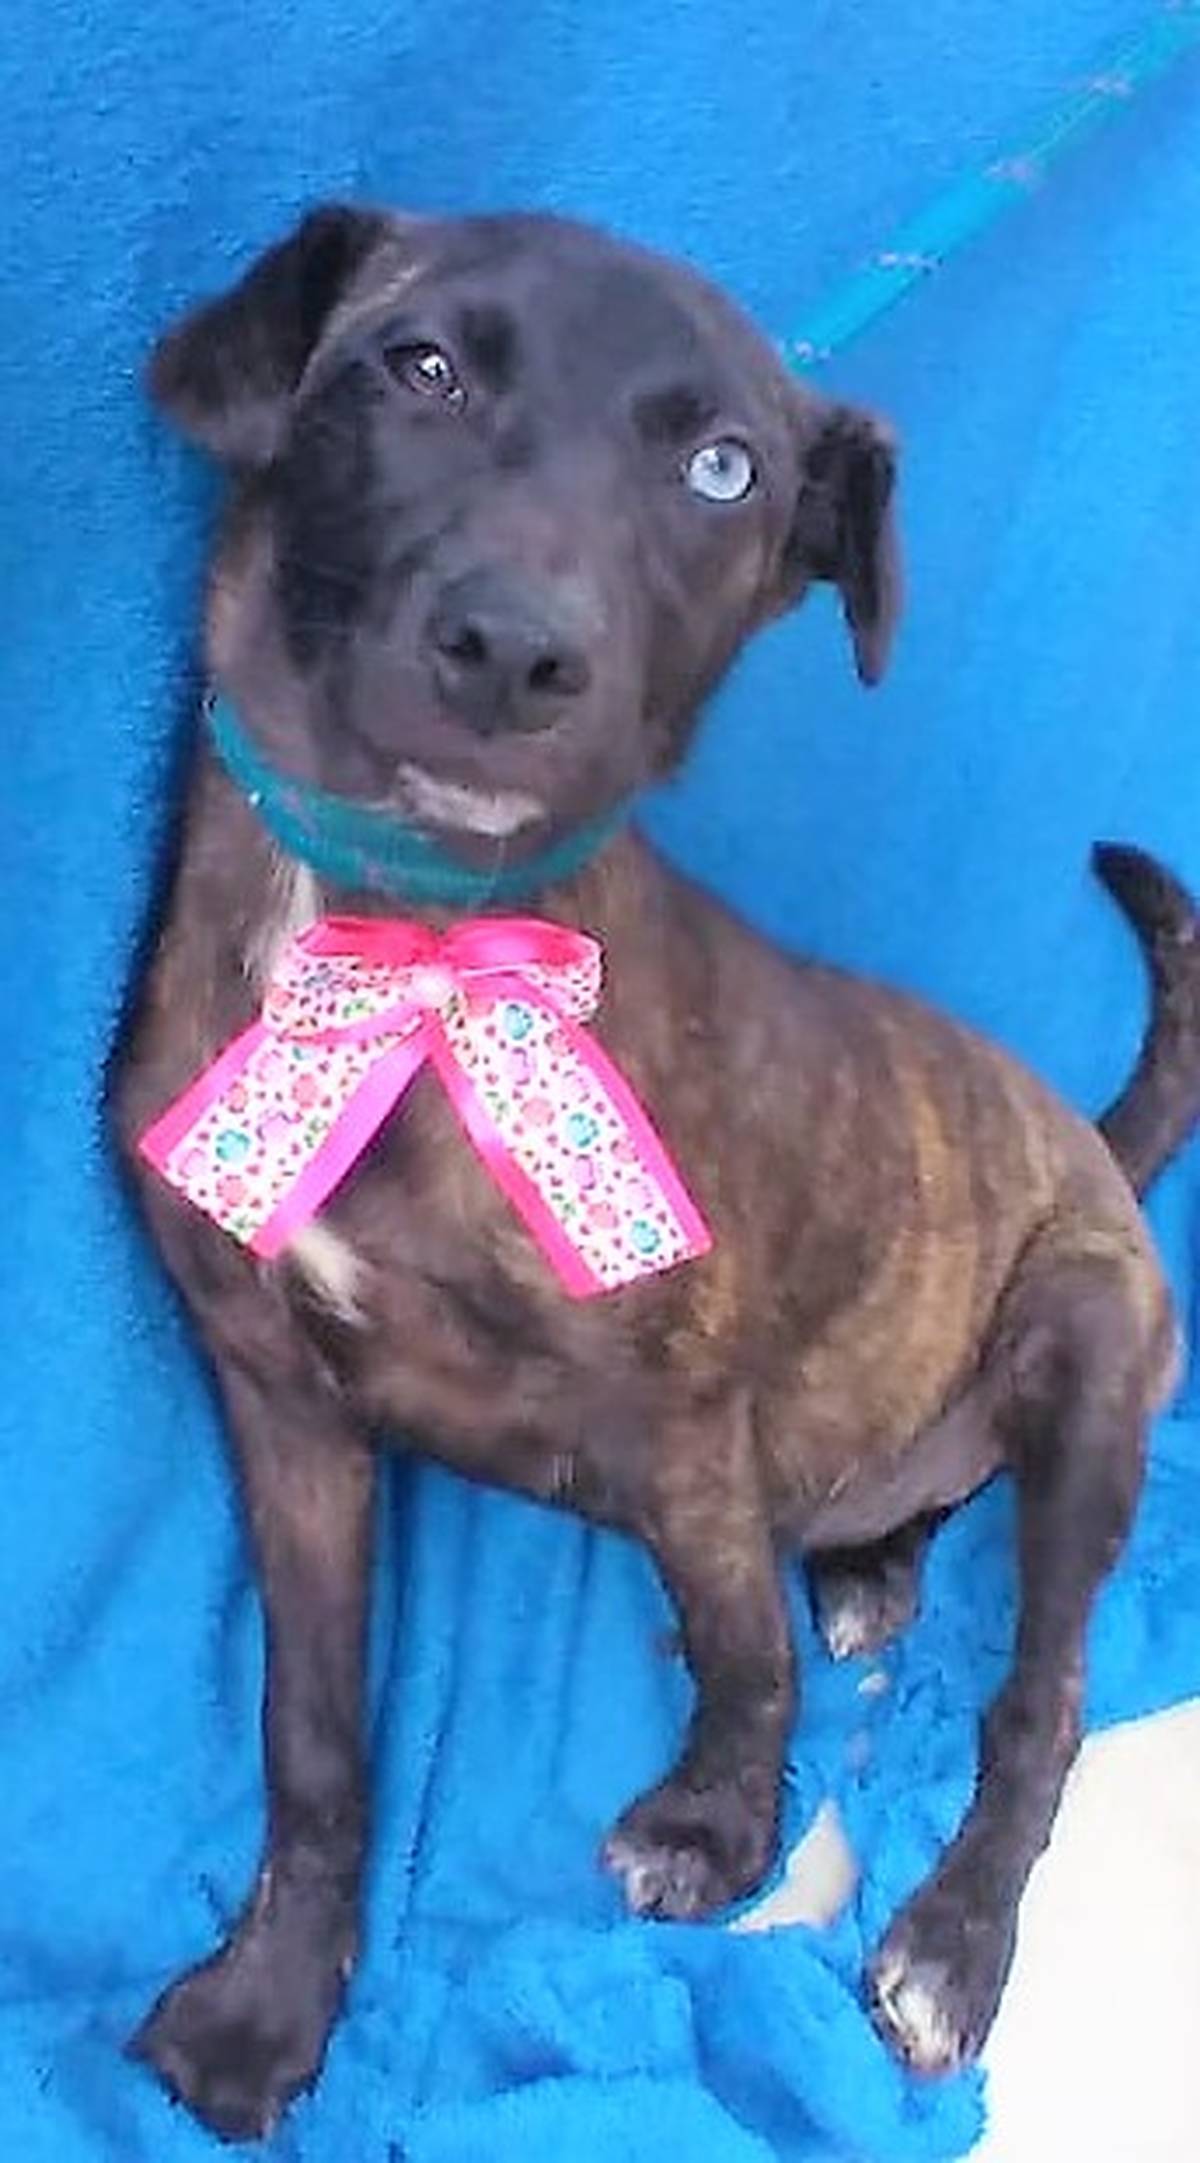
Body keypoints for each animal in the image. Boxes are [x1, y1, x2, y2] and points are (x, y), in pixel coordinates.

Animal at [114, 203, 1200, 2141]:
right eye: (420, 369)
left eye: (722, 471)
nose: (511, 650)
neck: (406, 947)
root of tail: (1088, 1139)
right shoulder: (276, 1398)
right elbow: (311, 1733)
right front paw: (269, 2005)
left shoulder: (688, 1410)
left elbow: (741, 1641)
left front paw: (718, 1818)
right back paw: (878, 1556)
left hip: (1083, 1334)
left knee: (1042, 1695)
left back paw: (955, 1939)